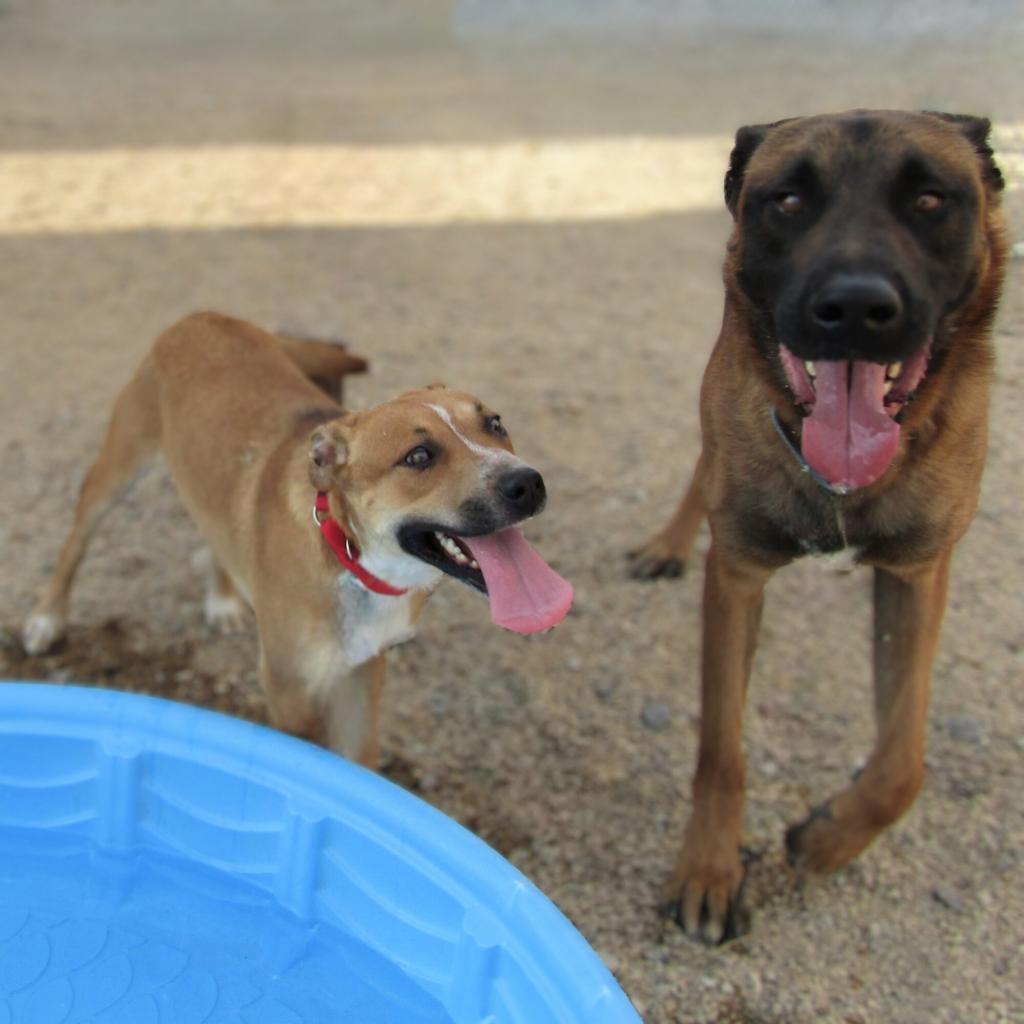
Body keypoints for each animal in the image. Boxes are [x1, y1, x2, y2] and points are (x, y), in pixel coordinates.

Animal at [24, 315, 573, 765]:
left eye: (495, 423)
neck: (351, 558)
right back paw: (47, 618)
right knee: (76, 541)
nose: (527, 484)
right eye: (418, 457)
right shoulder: (289, 689)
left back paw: (221, 598)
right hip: (115, 470)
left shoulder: (364, 672)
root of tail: (201, 315)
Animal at [630, 110, 1007, 942]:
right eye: (790, 200)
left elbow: (903, 764)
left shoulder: (917, 578)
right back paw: (667, 544)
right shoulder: (736, 577)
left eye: (930, 200)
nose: (857, 309)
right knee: (699, 470)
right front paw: (710, 872)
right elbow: (721, 752)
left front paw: (827, 840)